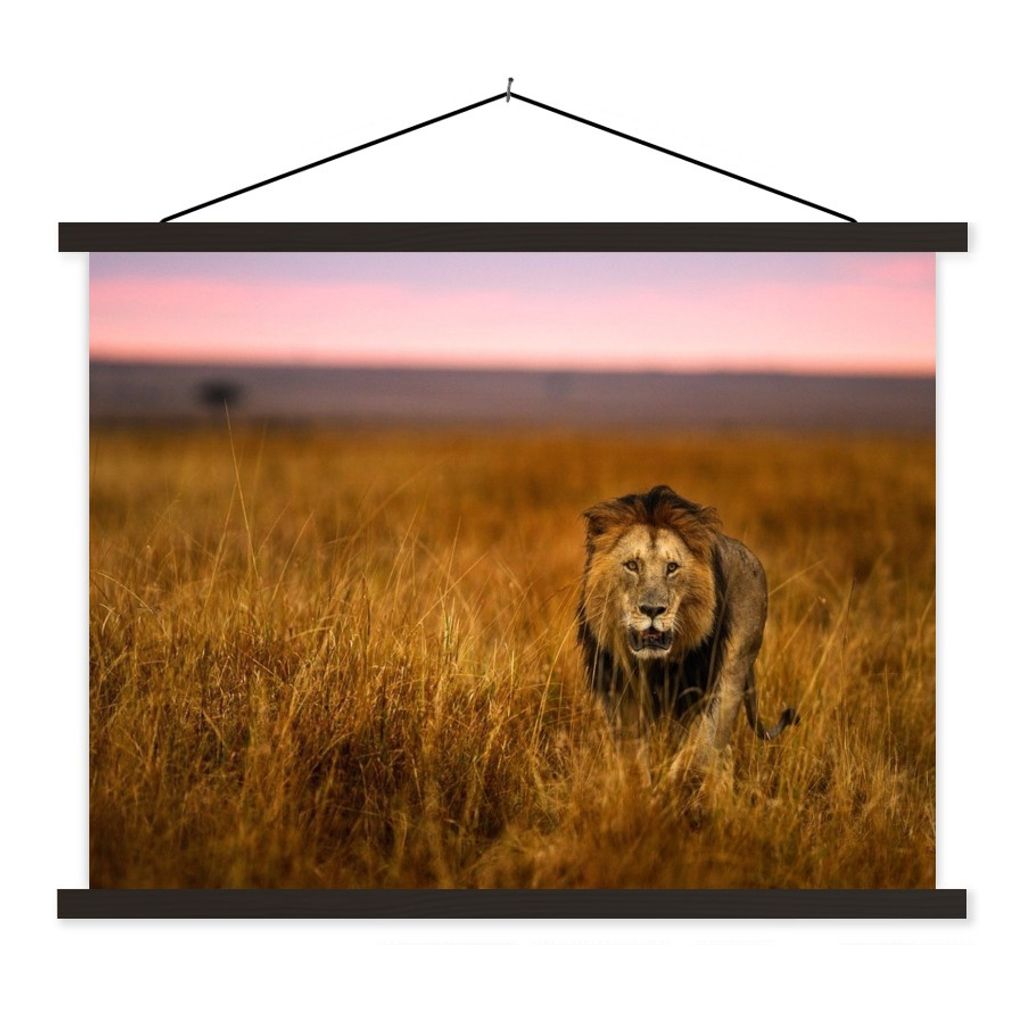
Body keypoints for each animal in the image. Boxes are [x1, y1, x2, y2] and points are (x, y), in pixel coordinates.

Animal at [577, 484, 799, 753]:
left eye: (672, 567)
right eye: (632, 565)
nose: (652, 609)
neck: (654, 666)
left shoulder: (701, 688)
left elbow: (699, 745)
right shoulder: (619, 693)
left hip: (735, 667)